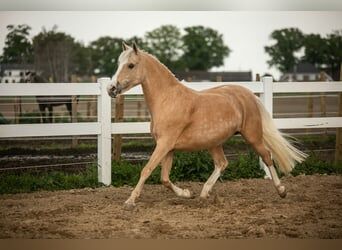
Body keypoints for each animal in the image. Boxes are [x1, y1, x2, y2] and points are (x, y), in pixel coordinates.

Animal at [107, 43, 308, 209]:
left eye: (131, 65)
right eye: (118, 63)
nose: (111, 88)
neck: (167, 100)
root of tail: (247, 94)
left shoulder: (164, 144)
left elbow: (146, 170)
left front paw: (130, 201)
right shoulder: (167, 147)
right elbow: (164, 178)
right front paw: (187, 193)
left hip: (252, 136)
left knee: (266, 156)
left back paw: (281, 190)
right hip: (214, 142)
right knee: (222, 163)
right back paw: (204, 193)